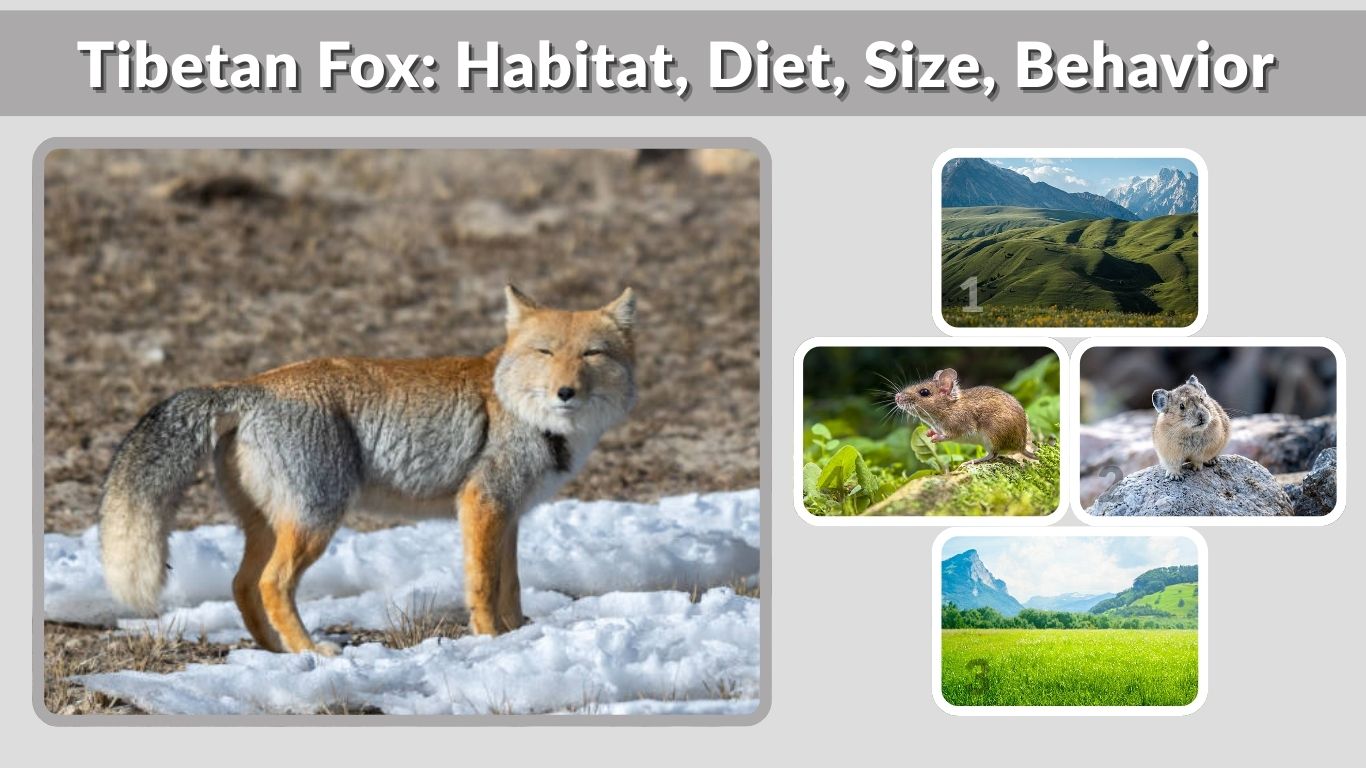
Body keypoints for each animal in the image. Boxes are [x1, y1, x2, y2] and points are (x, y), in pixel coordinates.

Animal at [98, 285, 637, 655]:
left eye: (591, 353)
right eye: (545, 352)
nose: (565, 391)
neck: (523, 412)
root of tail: (250, 385)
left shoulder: (509, 515)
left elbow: (512, 585)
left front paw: (515, 635)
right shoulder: (483, 504)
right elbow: (484, 586)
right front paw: (489, 640)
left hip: (271, 526)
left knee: (242, 584)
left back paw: (277, 652)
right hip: (316, 522)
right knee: (273, 584)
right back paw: (311, 650)